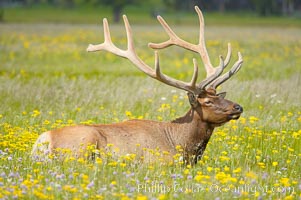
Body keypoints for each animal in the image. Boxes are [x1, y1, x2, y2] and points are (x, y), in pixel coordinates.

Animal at [32, 7, 244, 165]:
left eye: (220, 96)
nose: (238, 107)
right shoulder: (158, 161)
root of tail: (44, 140)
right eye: (207, 101)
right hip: (83, 145)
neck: (182, 145)